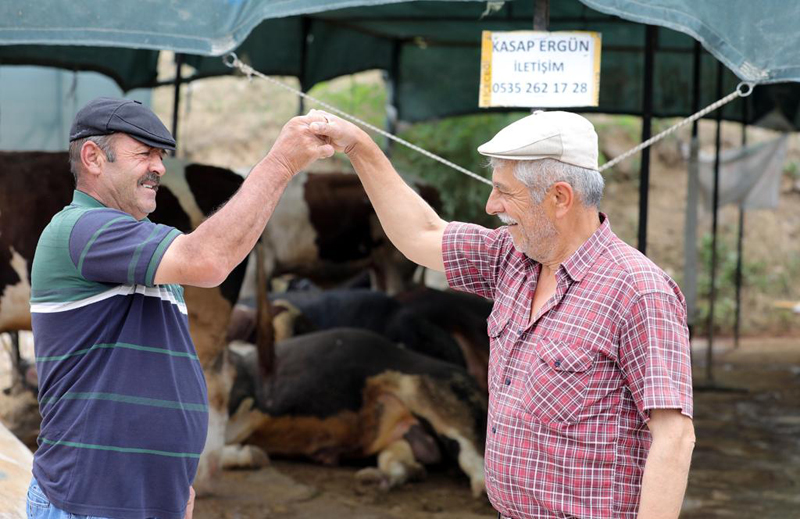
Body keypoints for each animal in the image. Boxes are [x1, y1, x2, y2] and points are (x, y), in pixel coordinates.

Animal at [225, 330, 488, 496]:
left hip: (435, 396)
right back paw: (373, 480)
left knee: (473, 456)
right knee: (406, 467)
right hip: (398, 436)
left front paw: (248, 454)